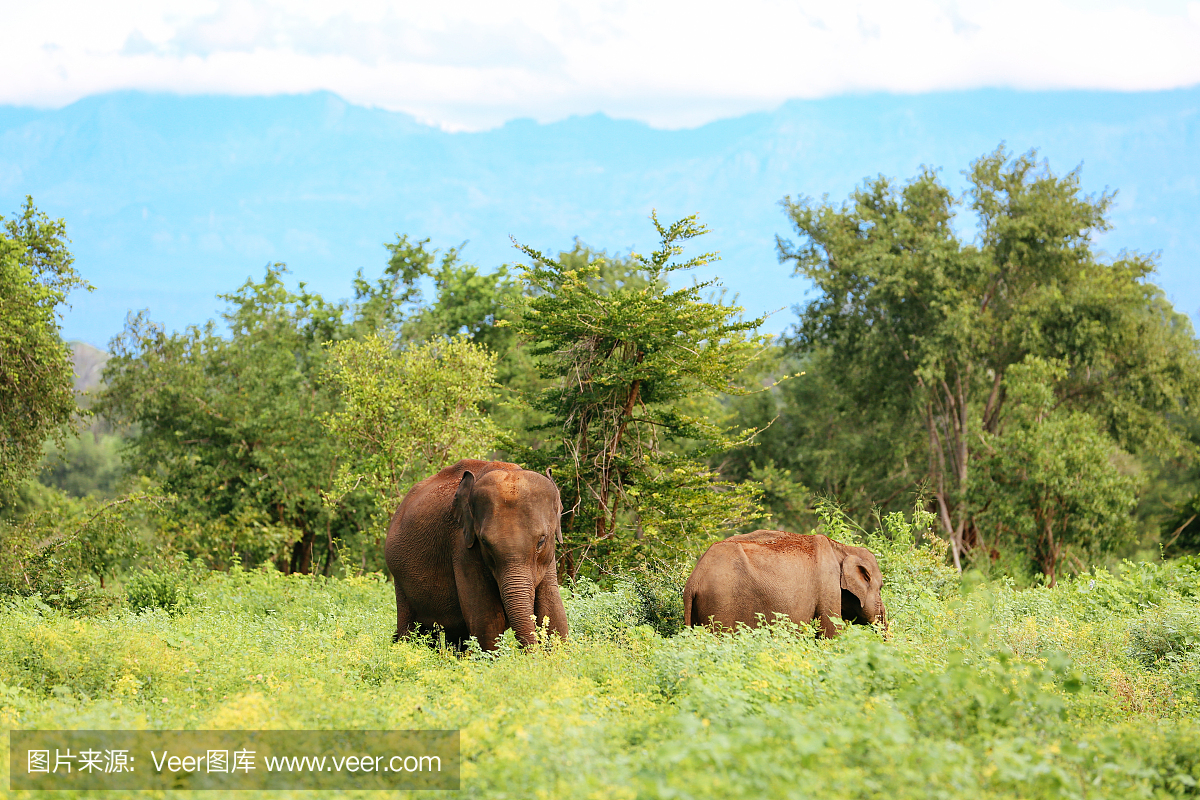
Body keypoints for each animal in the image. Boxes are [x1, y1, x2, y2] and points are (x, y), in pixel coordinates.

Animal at [384, 455, 571, 652]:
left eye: (541, 541)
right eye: (485, 543)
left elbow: (553, 610)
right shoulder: (462, 545)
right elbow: (487, 618)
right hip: (400, 577)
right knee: (413, 628)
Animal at [681, 532, 888, 638]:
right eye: (881, 587)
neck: (842, 548)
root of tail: (693, 581)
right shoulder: (828, 585)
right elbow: (830, 631)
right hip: (720, 605)